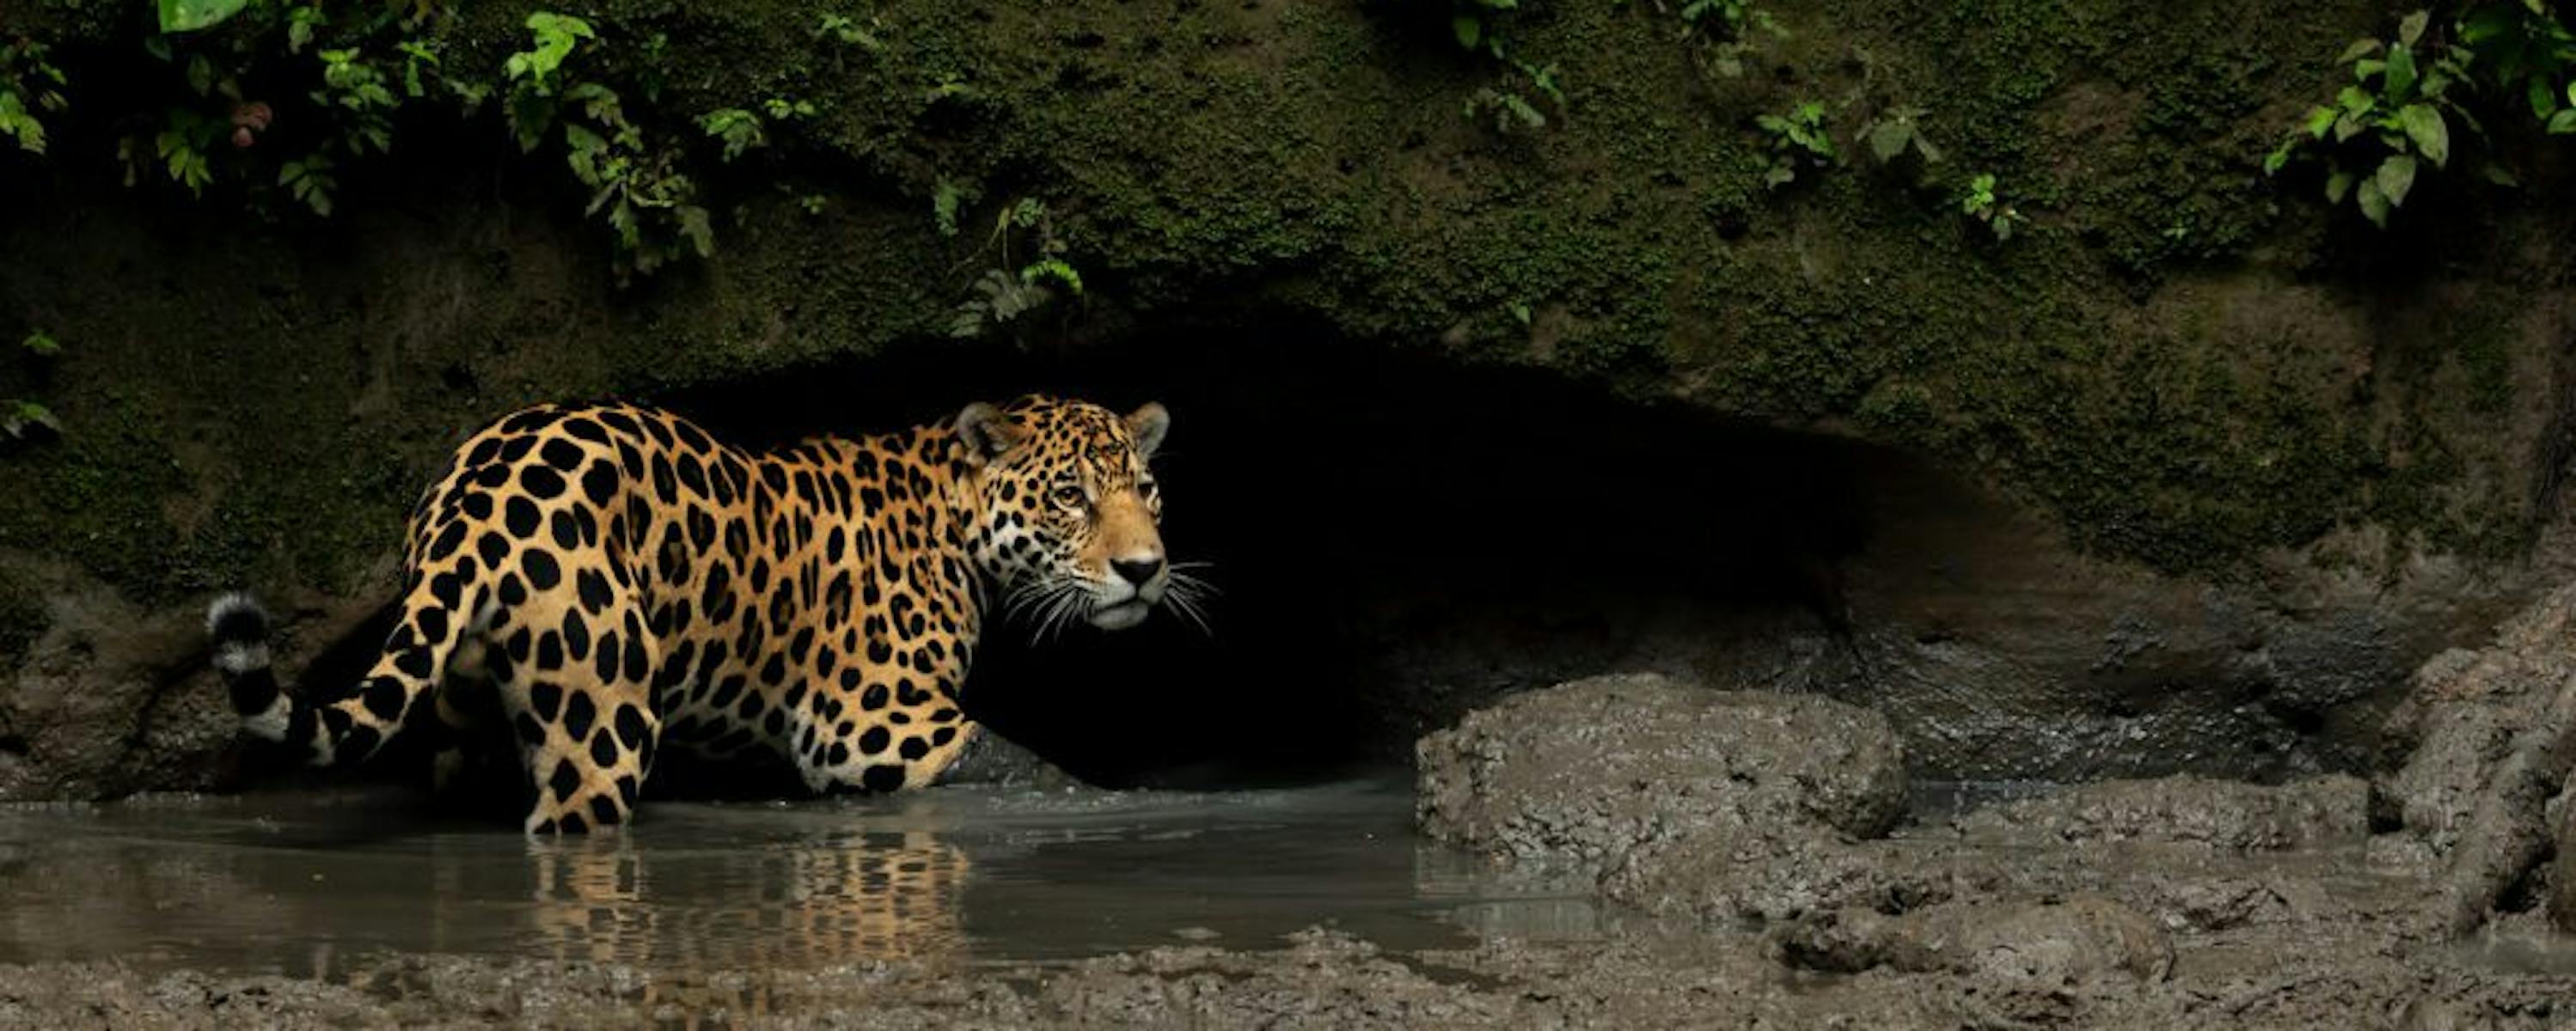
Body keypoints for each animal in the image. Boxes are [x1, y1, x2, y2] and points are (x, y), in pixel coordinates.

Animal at [205, 395, 1200, 833]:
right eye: (1071, 497)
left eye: (1147, 491)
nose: (1144, 569)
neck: (947, 518)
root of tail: (476, 496)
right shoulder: (872, 724)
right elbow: (1017, 762)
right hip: (604, 723)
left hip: (467, 707)